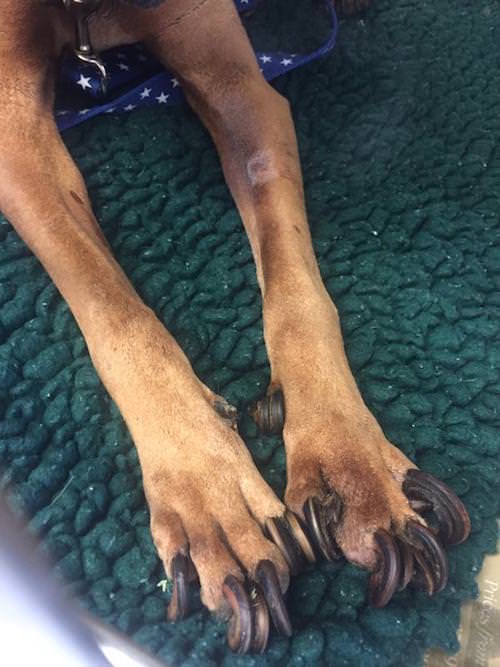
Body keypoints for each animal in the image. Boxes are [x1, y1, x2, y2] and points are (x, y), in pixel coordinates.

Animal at [0, 0, 471, 653]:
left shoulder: (240, 89)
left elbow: (297, 288)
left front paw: (348, 461)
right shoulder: (17, 132)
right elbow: (116, 311)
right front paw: (206, 491)